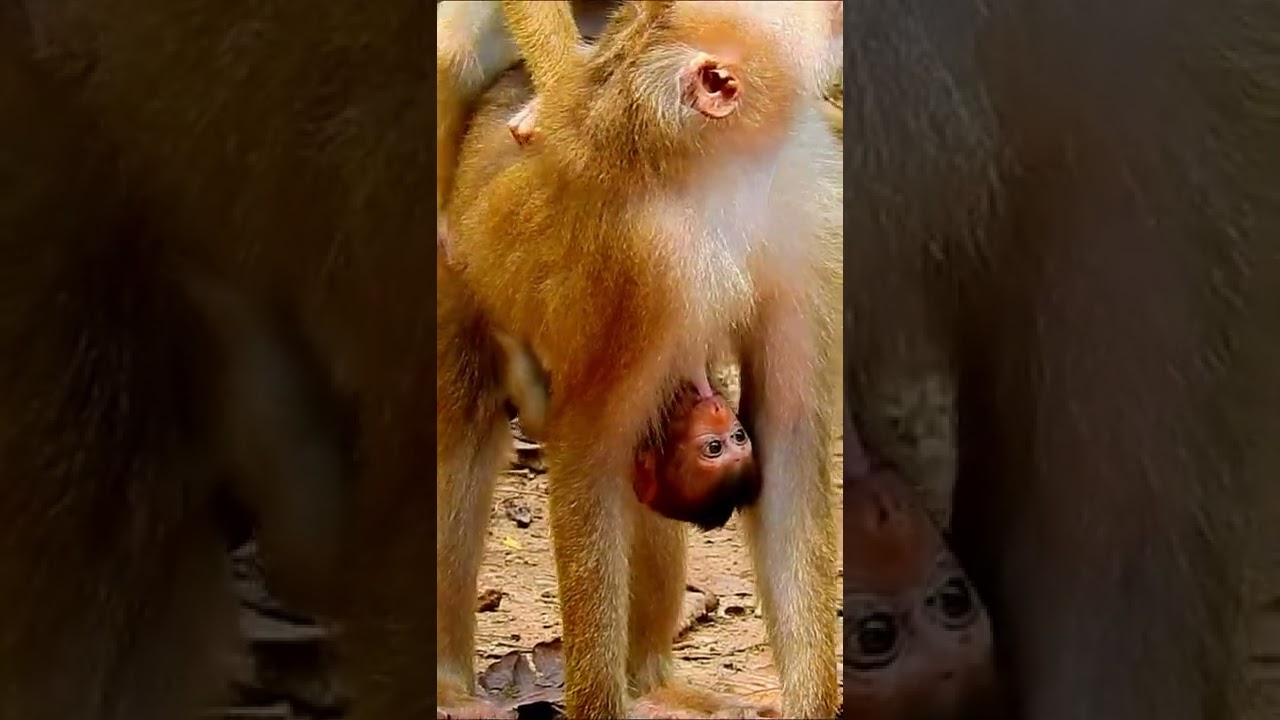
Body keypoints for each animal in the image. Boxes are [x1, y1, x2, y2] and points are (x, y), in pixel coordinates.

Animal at [437, 2, 844, 718]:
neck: (725, 169)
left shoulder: (802, 211)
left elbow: (786, 435)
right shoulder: (640, 265)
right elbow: (591, 443)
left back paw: (656, 680)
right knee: (464, 441)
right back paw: (447, 684)